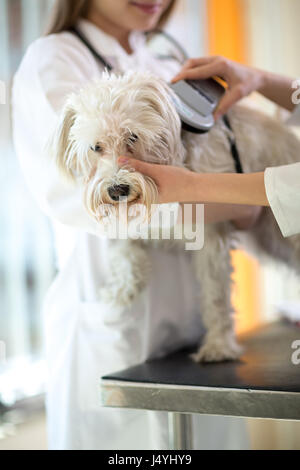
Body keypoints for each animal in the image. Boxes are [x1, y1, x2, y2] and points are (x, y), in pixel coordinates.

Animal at [50, 70, 300, 364]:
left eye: (132, 137)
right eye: (95, 147)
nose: (117, 190)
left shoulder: (211, 236)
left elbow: (215, 296)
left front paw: (219, 345)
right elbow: (124, 249)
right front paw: (123, 287)